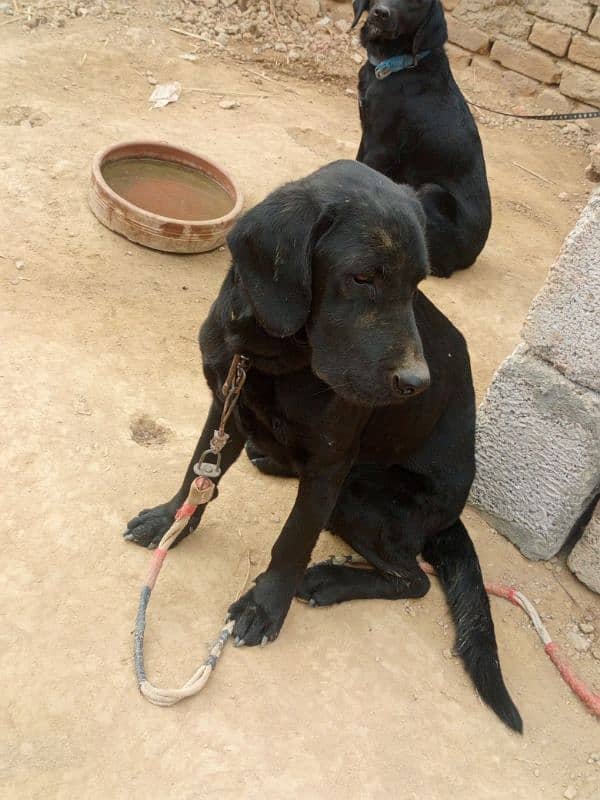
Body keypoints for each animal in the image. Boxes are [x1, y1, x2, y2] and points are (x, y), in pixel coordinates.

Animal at [125, 158, 520, 732]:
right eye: (362, 277)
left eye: (416, 285)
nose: (416, 384)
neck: (269, 354)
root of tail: (450, 519)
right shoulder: (227, 401)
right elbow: (198, 472)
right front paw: (170, 520)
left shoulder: (333, 462)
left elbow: (293, 538)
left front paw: (265, 605)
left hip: (359, 496)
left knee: (413, 579)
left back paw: (330, 581)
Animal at [352, 0, 492, 278]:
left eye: (416, 3)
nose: (380, 13)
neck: (398, 65)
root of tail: (472, 258)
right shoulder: (368, 133)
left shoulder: (381, 147)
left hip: (430, 191)